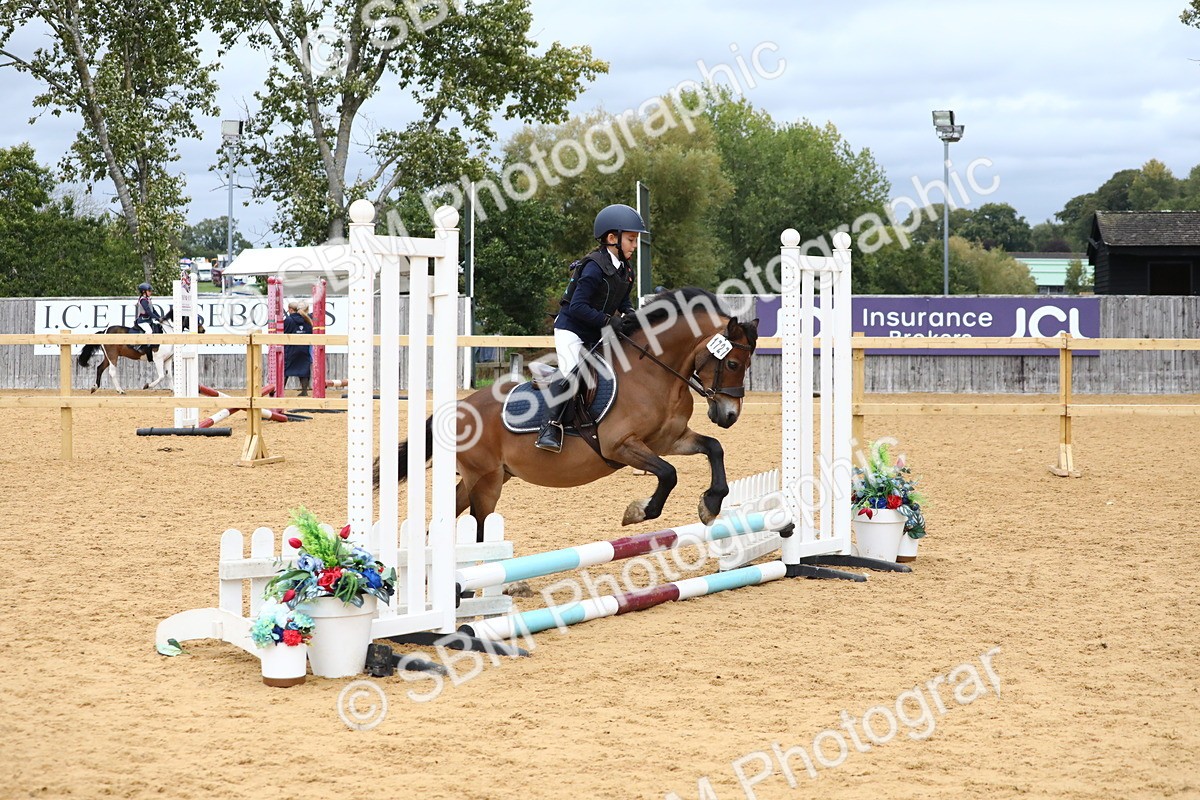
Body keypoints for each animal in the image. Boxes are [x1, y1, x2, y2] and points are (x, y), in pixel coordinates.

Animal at [380, 287, 759, 537]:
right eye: (733, 363)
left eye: (746, 365)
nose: (729, 415)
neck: (655, 372)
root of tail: (458, 409)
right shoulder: (620, 446)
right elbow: (668, 474)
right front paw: (637, 513)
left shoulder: (669, 439)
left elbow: (714, 448)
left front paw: (710, 505)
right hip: (486, 482)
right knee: (478, 527)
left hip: (492, 476)